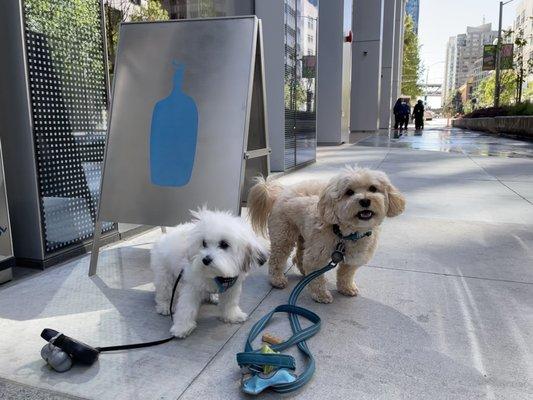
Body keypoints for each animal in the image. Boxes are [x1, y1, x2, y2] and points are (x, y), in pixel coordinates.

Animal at [149, 209, 266, 338]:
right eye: (204, 243)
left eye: (224, 244)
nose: (205, 259)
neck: (218, 276)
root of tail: (163, 238)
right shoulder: (192, 287)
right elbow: (186, 307)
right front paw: (182, 327)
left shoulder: (232, 286)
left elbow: (230, 302)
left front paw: (232, 316)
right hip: (163, 273)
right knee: (164, 291)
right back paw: (164, 306)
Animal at [247, 168, 406, 304]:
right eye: (349, 192)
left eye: (373, 188)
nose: (365, 200)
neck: (345, 234)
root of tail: (280, 193)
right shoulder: (317, 256)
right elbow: (317, 278)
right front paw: (321, 295)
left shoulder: (354, 258)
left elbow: (346, 274)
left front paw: (346, 288)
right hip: (284, 235)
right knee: (277, 258)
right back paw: (277, 279)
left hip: (305, 236)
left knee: (299, 256)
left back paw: (304, 272)